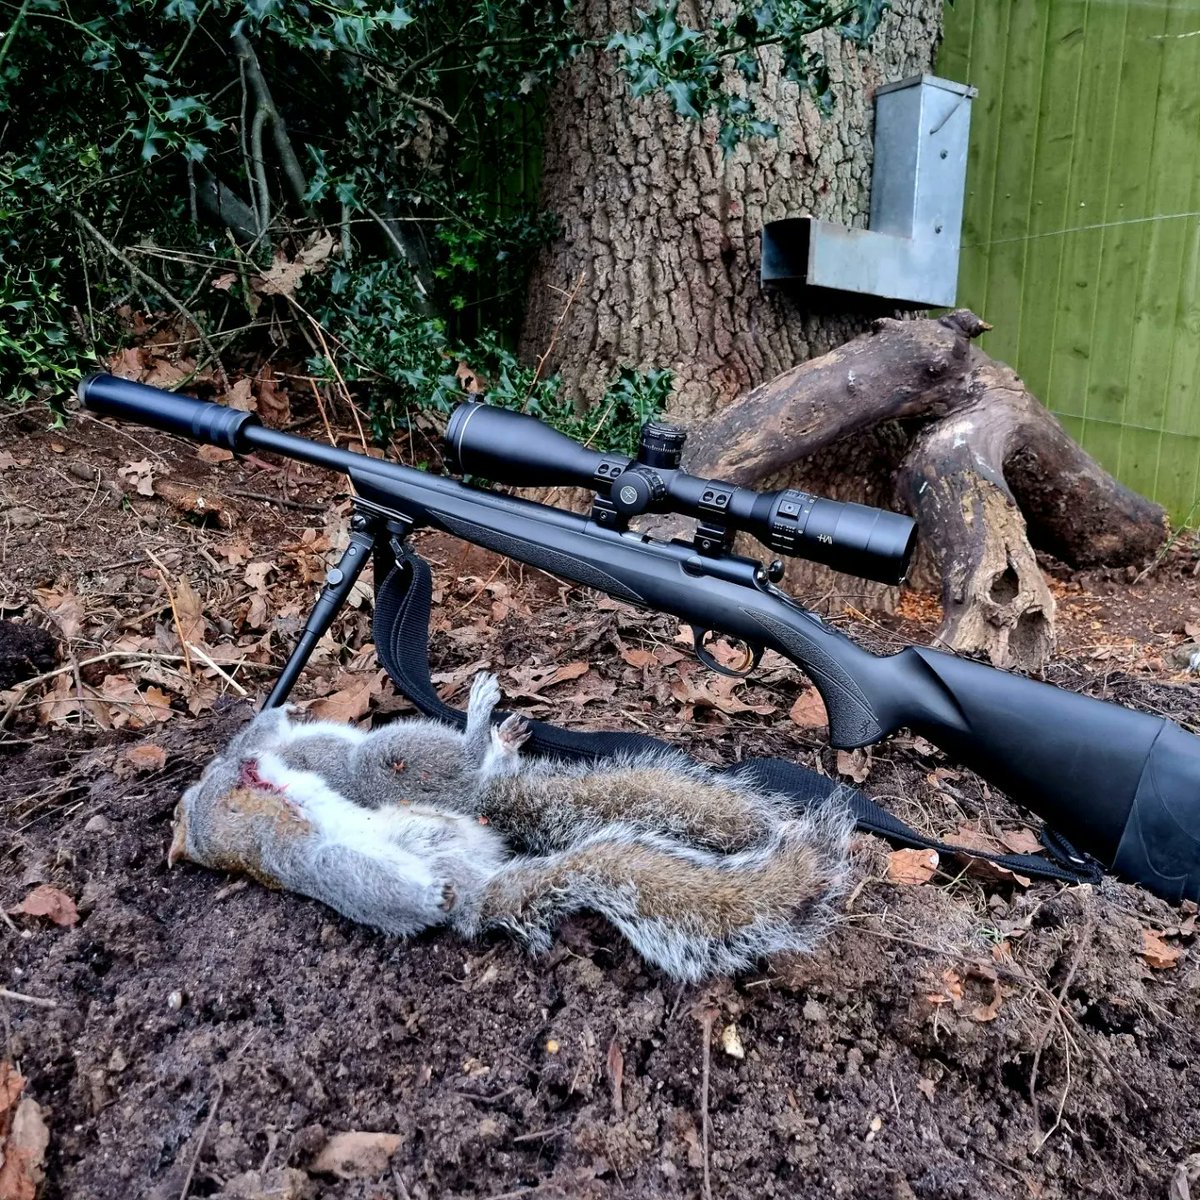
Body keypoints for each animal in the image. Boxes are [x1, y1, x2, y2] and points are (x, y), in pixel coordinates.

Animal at [170, 673, 853, 981]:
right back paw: (480, 728)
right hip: (381, 778)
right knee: (449, 766)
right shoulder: (243, 762)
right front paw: (277, 709)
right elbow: (253, 736)